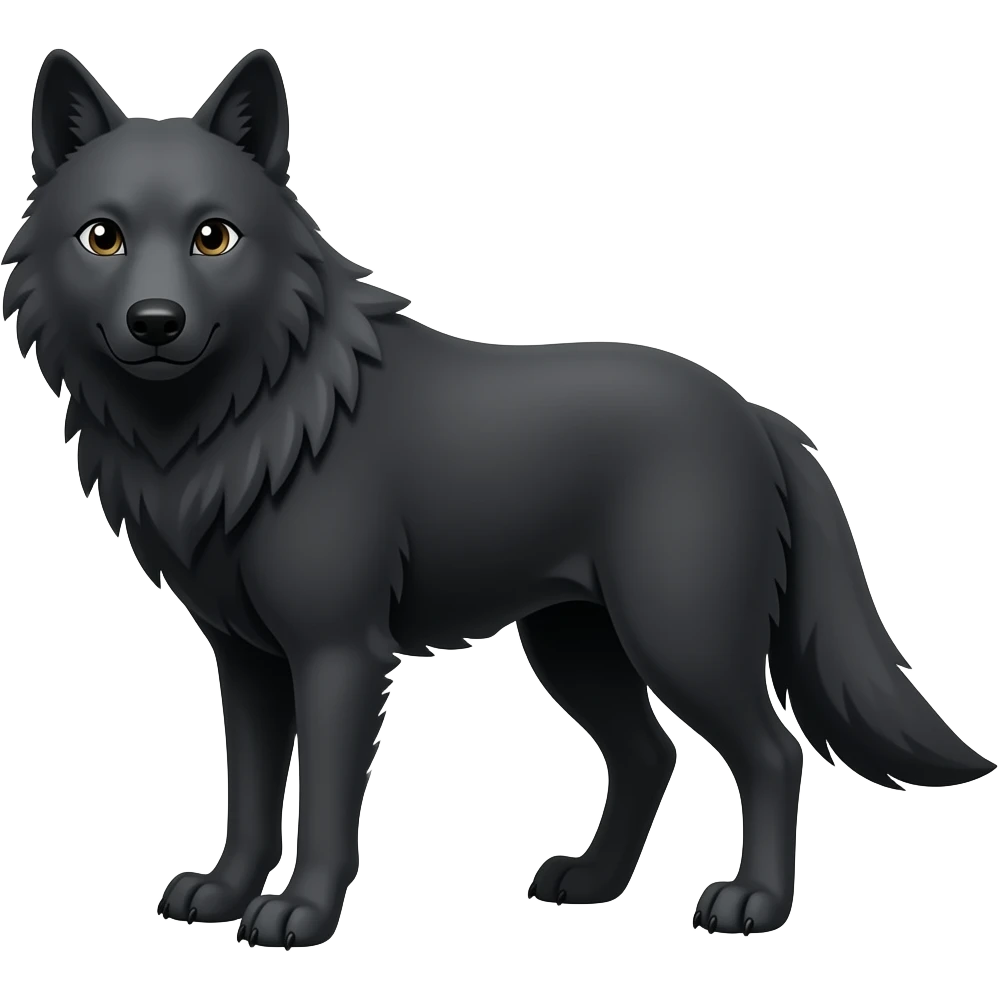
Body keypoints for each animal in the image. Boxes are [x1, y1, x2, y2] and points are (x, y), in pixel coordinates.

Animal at [3, 47, 993, 949]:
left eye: (214, 236)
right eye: (102, 237)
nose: (155, 323)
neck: (249, 418)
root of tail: (755, 415)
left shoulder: (337, 652)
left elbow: (322, 800)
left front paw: (300, 914)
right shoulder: (244, 659)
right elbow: (247, 791)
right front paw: (221, 893)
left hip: (680, 636)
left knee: (770, 752)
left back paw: (751, 903)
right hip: (573, 646)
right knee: (649, 753)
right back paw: (590, 882)